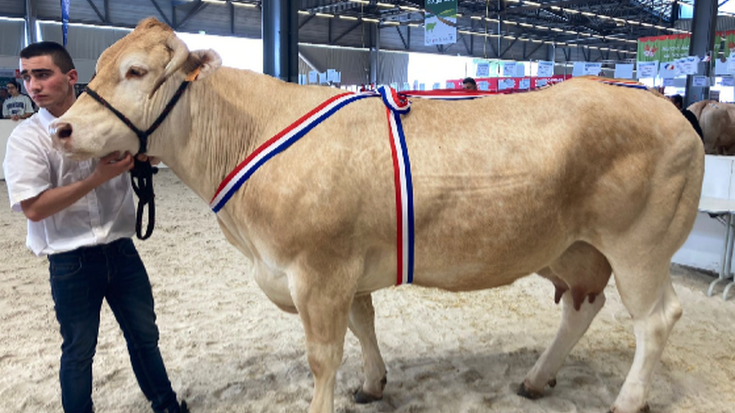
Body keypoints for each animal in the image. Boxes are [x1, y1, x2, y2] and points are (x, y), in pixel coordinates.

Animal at [51, 17, 708, 412]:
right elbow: (363, 324)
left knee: (656, 319)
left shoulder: (317, 271)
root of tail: (665, 106)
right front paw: (373, 383)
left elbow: (324, 356)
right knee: (582, 305)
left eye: (136, 71)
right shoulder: (344, 268)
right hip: (574, 247)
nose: (61, 129)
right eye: (99, 65)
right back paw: (537, 377)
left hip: (640, 247)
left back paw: (627, 399)